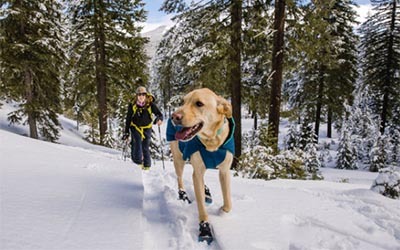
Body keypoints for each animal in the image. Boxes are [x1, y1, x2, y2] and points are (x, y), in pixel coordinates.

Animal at [166, 87, 234, 242]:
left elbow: (228, 202)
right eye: (183, 101)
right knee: (180, 178)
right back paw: (183, 195)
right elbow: (201, 207)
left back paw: (206, 192)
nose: (174, 116)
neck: (211, 142)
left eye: (199, 104)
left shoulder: (224, 171)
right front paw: (205, 229)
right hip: (179, 160)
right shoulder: (197, 173)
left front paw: (222, 211)